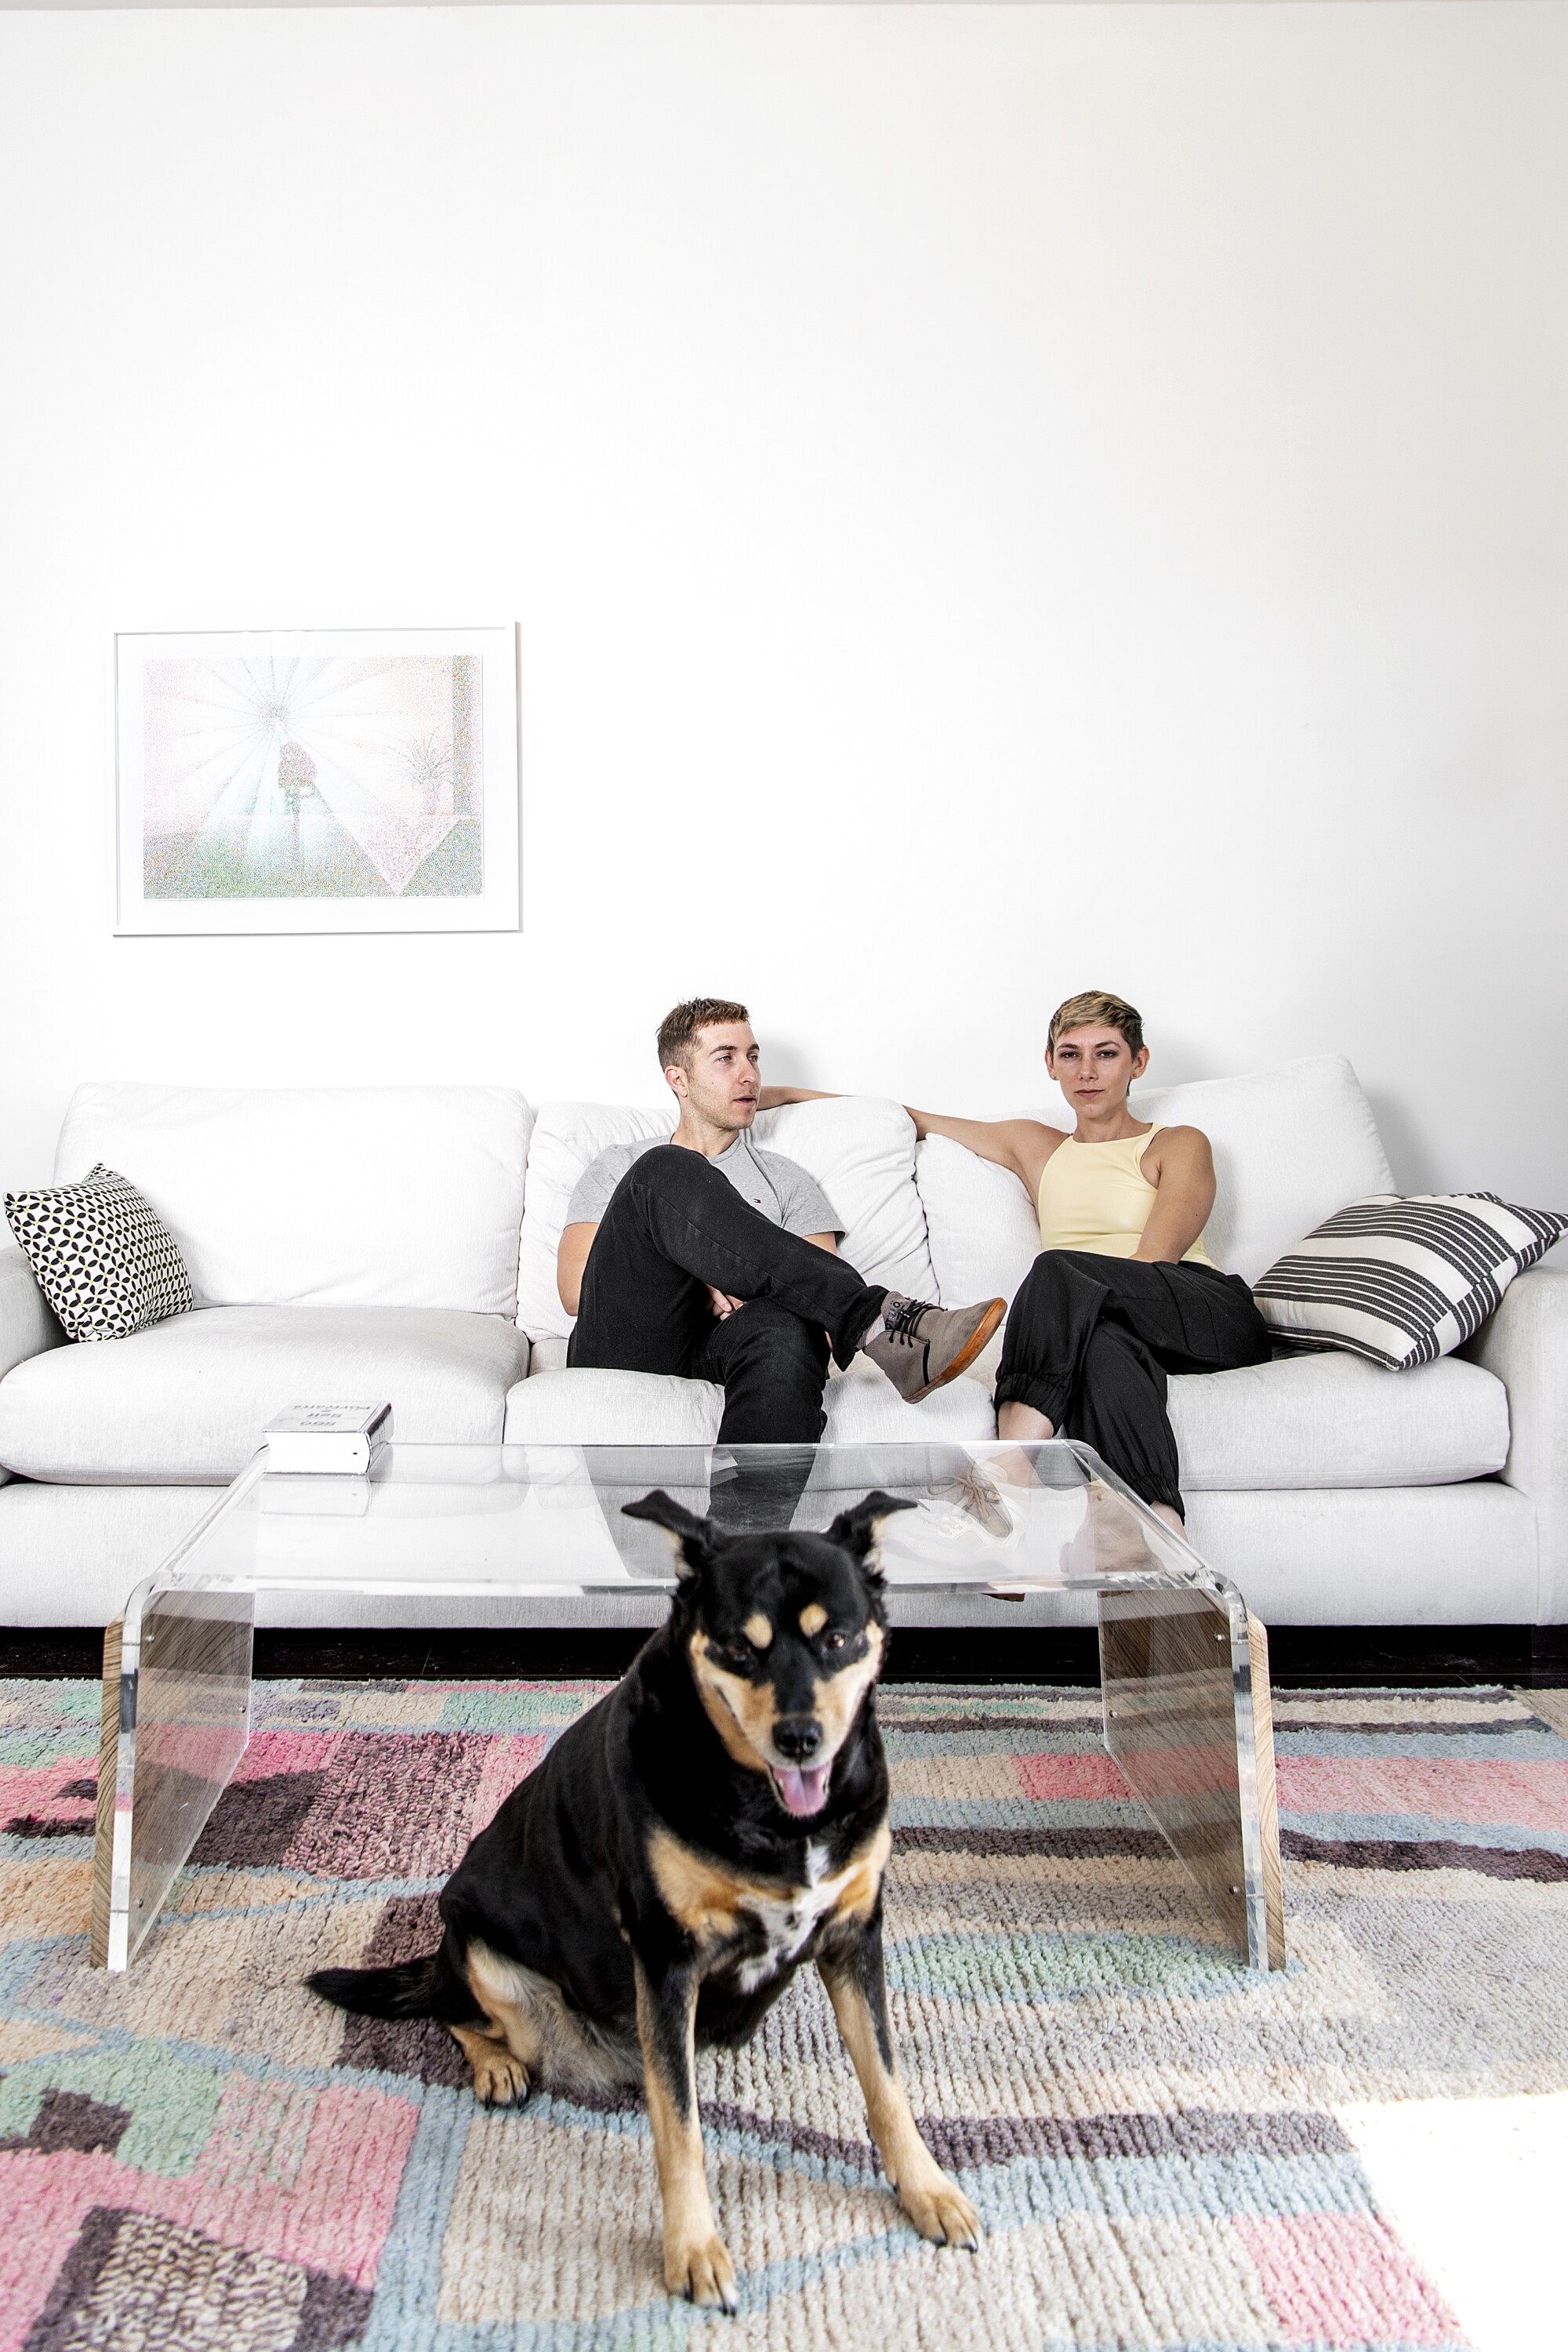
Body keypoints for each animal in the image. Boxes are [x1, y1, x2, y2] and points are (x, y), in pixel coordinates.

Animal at [305, 1486, 982, 2314]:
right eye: (741, 1649)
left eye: (839, 1638)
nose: (800, 1738)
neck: (772, 1816)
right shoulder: (665, 1960)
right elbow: (680, 2129)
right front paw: (694, 2253)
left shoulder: (854, 1935)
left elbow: (886, 2086)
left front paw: (929, 2192)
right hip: (480, 1951)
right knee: (454, 2008)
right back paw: (496, 2066)